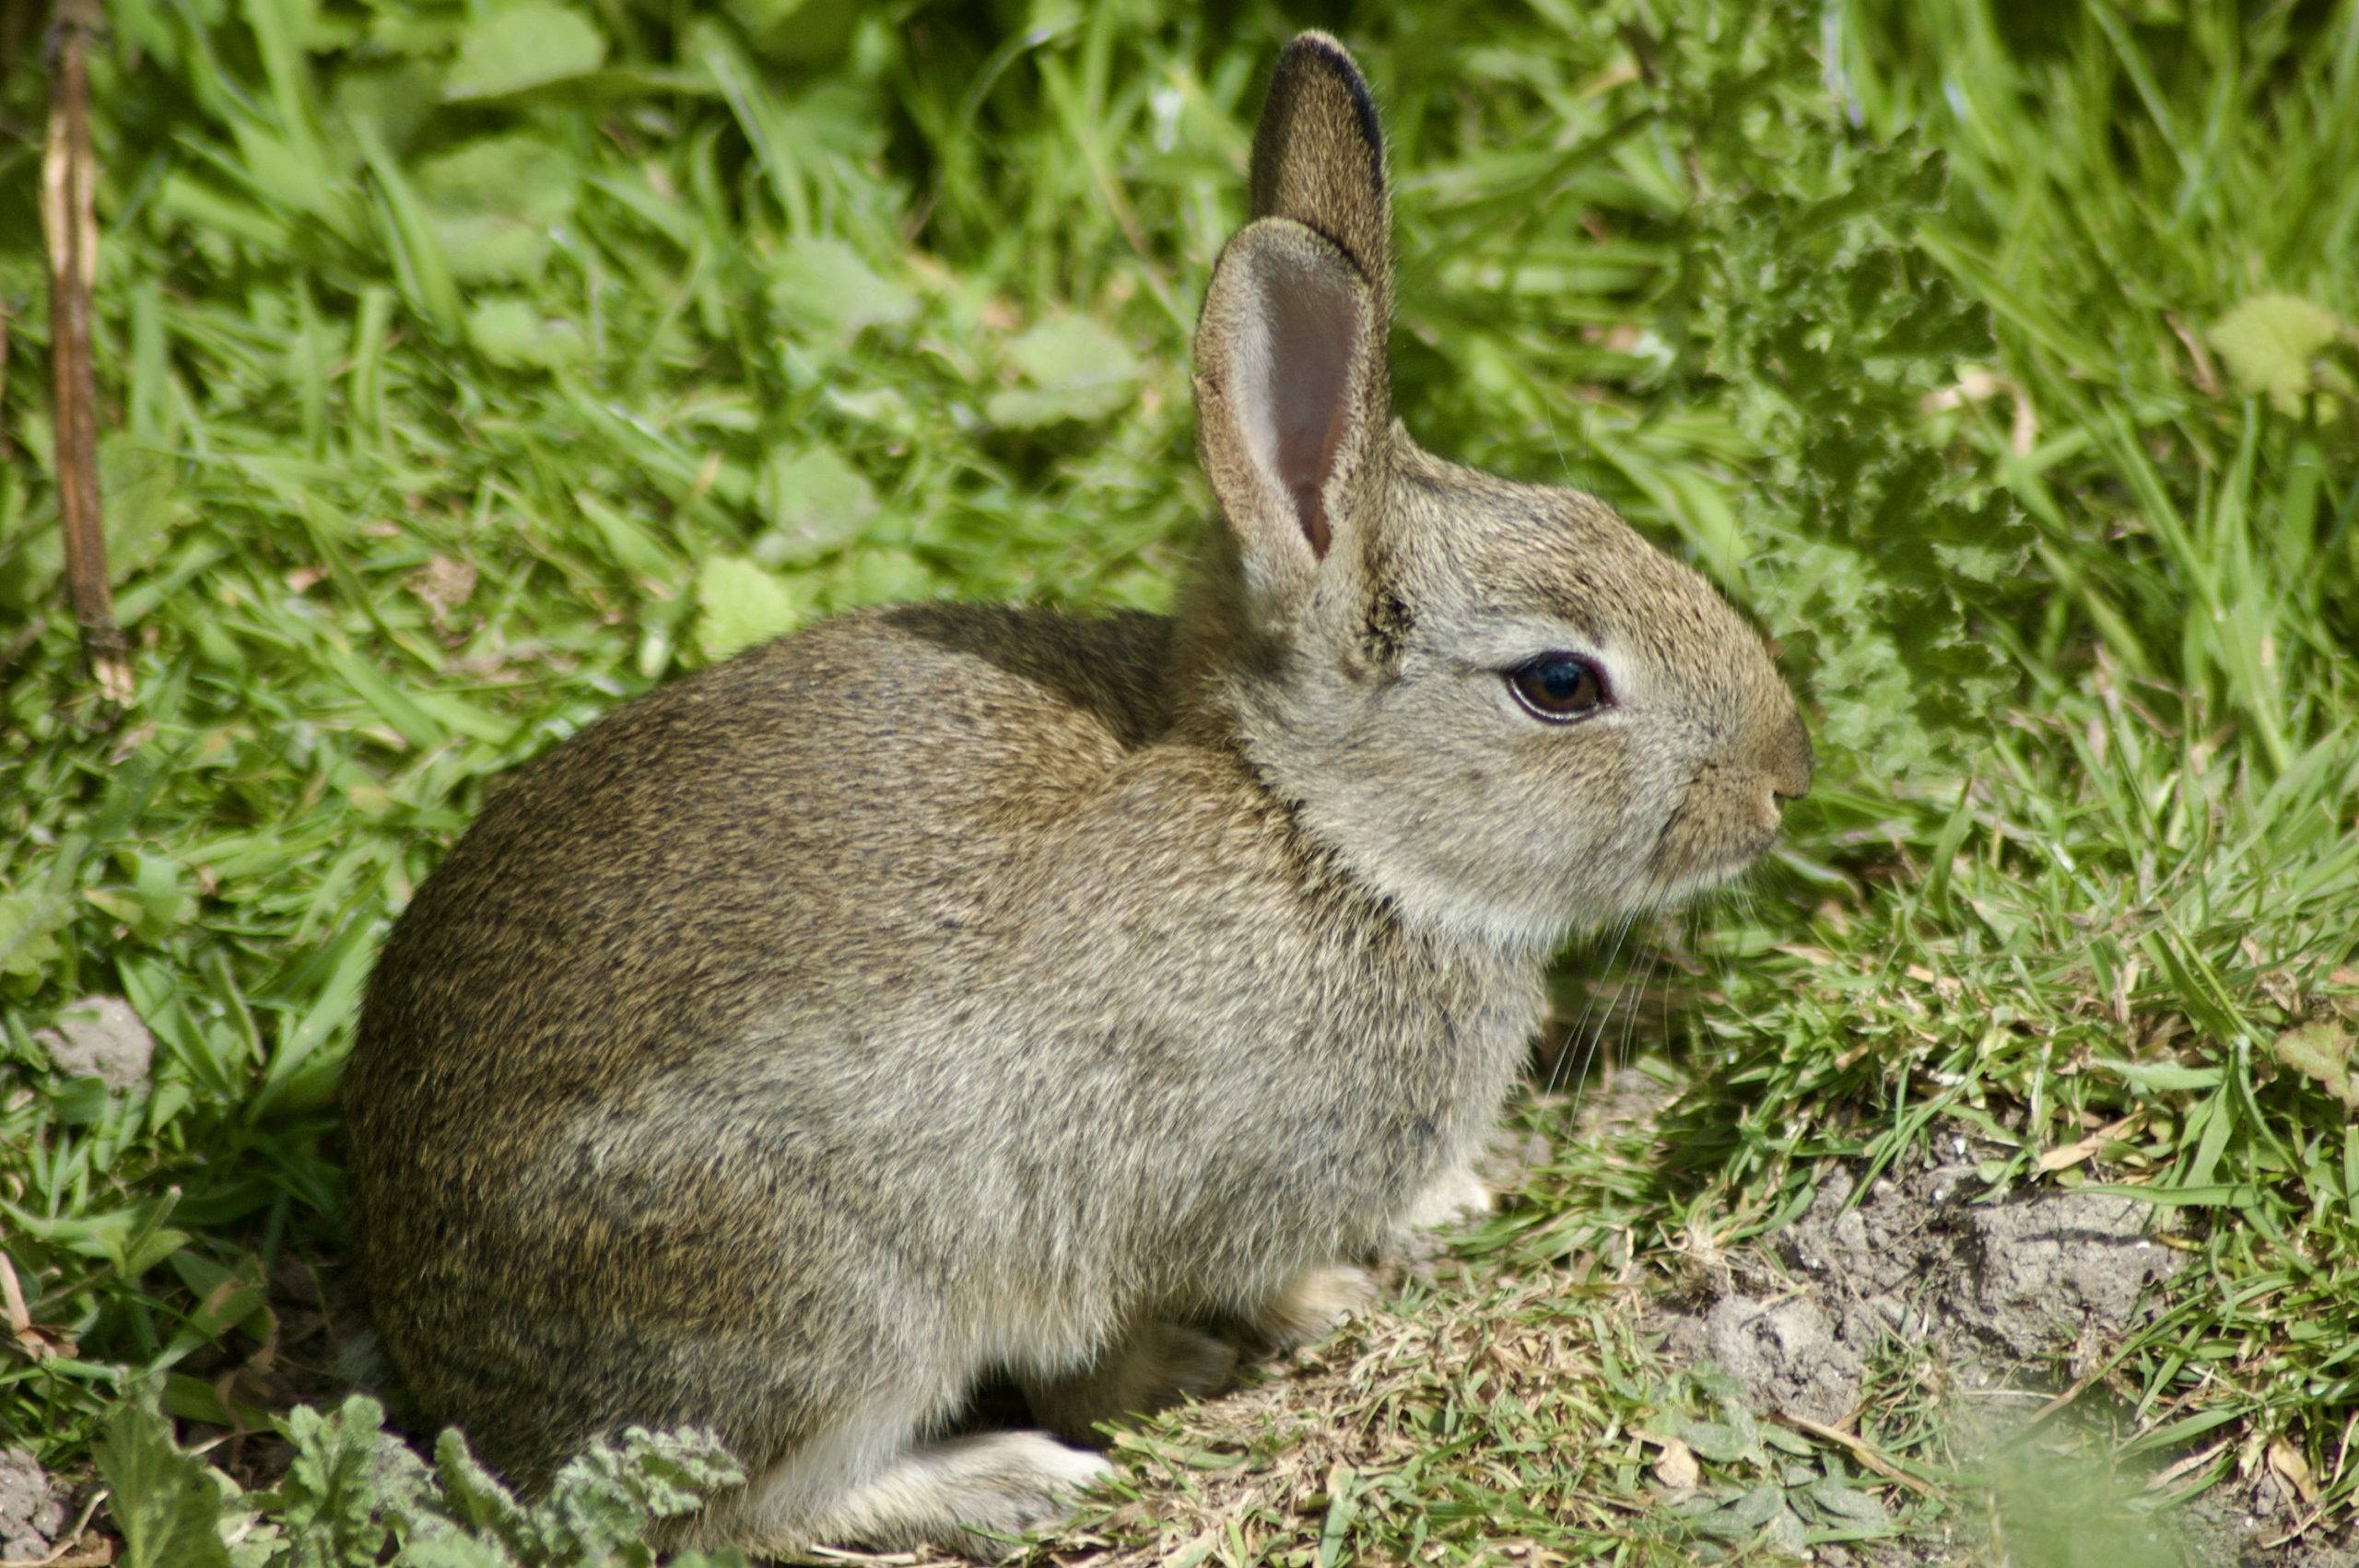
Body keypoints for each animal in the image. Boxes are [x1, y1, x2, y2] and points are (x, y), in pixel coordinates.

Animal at [341, 29, 1812, 1560]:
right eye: (1560, 684)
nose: (1787, 777)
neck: (1315, 825)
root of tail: (448, 1355)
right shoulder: (1213, 1182)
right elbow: (1218, 1286)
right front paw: (1318, 1309)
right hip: (829, 1302)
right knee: (753, 1508)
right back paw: (1019, 1472)